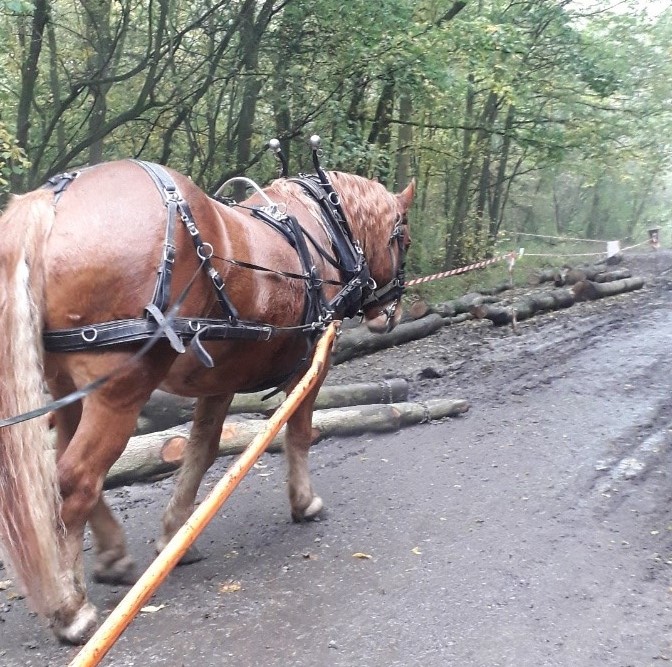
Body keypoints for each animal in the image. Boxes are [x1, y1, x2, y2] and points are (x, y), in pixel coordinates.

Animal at [0, 156, 413, 644]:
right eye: (403, 238)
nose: (390, 313)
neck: (322, 233)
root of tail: (53, 200)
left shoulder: (220, 380)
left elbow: (200, 449)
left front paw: (176, 533)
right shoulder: (312, 363)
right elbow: (298, 432)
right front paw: (304, 502)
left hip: (66, 387)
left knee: (67, 469)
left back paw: (112, 557)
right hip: (119, 391)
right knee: (78, 477)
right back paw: (72, 609)